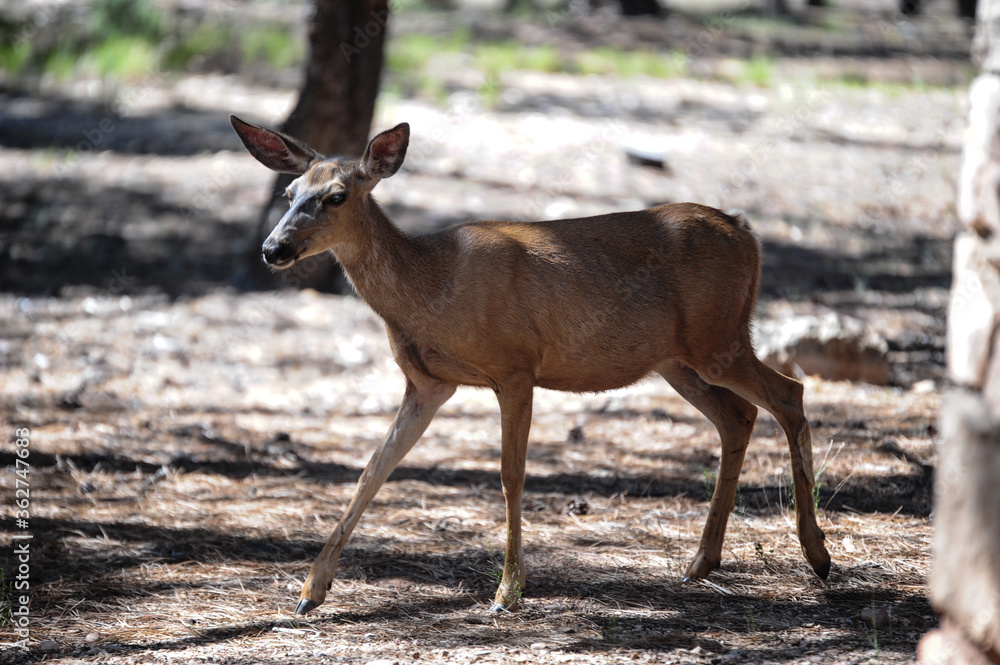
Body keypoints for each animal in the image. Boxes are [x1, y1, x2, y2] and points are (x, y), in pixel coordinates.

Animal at [230, 115, 831, 616]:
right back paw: (702, 563)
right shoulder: (428, 384)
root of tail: (746, 230)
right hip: (678, 360)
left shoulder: (516, 367)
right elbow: (372, 469)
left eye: (336, 196)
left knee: (789, 394)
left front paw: (507, 592)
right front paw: (311, 591)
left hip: (718, 338)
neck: (430, 289)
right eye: (288, 192)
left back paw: (817, 554)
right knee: (738, 416)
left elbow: (510, 476)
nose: (273, 249)